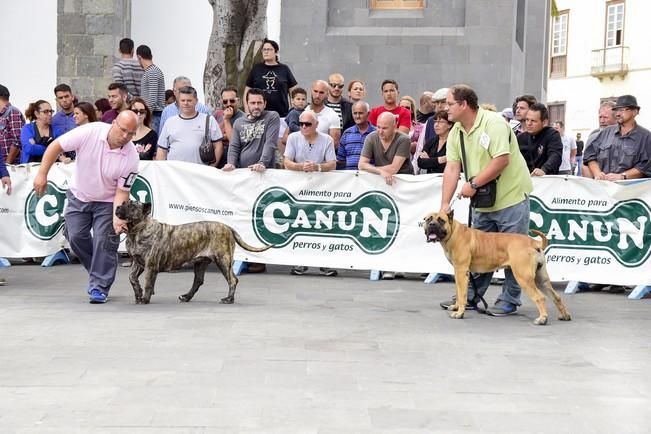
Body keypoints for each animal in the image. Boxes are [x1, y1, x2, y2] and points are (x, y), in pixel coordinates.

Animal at [116, 201, 272, 306]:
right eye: (124, 203)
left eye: (131, 206)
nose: (117, 207)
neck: (137, 230)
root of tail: (228, 227)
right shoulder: (138, 263)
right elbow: (132, 278)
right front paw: (138, 292)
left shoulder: (150, 265)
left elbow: (148, 283)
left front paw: (144, 299)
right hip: (200, 262)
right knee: (198, 281)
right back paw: (186, 297)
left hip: (223, 259)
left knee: (232, 280)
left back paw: (228, 299)